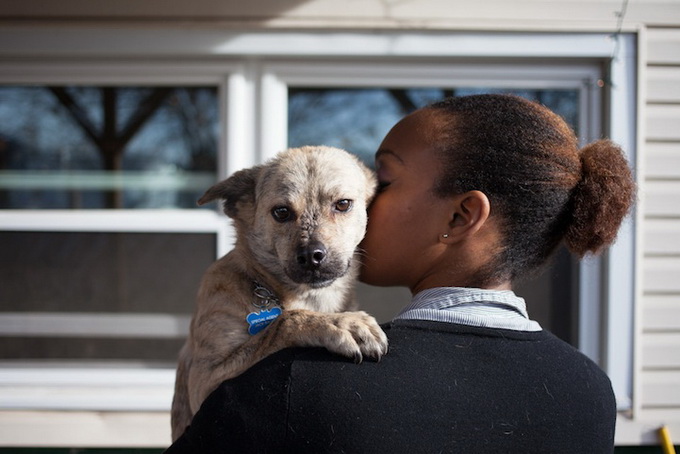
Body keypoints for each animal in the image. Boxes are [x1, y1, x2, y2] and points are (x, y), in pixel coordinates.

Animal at [170, 145, 388, 440]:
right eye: (281, 212)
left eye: (343, 204)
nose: (311, 256)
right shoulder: (203, 380)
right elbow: (285, 321)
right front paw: (342, 324)